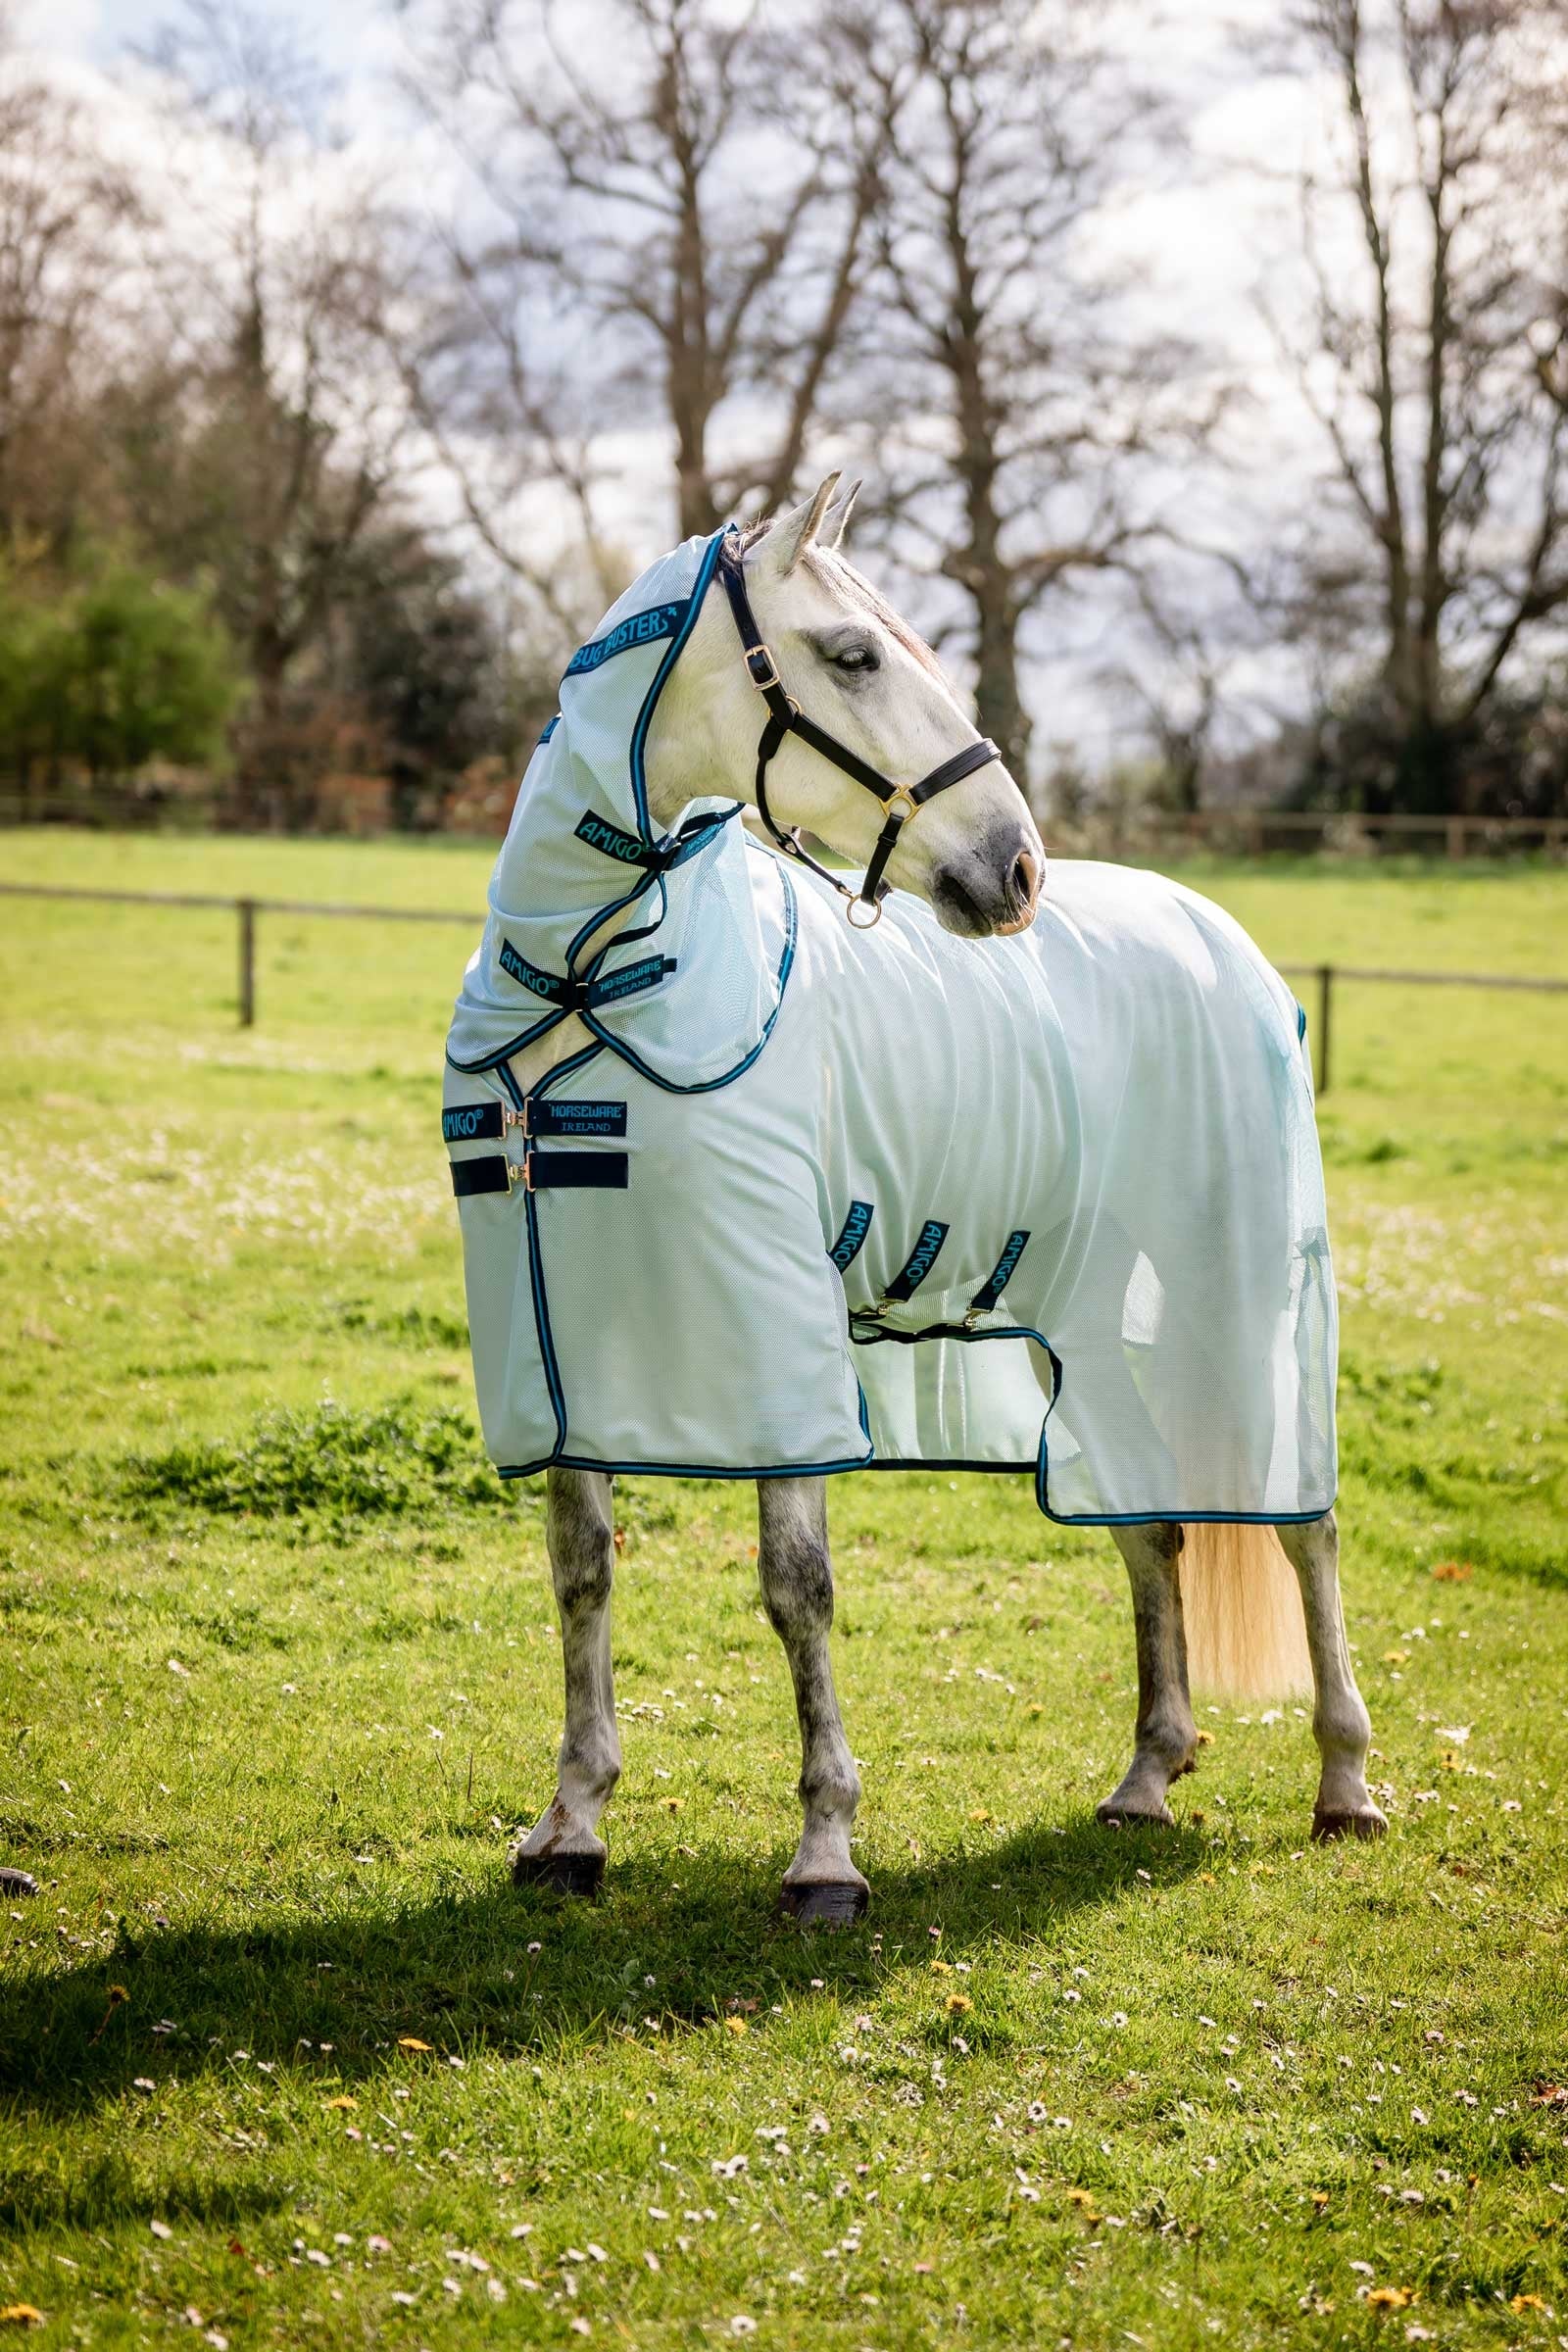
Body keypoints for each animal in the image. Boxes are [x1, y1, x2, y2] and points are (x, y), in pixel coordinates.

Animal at [443, 473, 1385, 1927]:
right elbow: (582, 1574)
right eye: (853, 656)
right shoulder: (566, 1354)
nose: (1017, 867)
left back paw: (1344, 1784)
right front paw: (571, 1825)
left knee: (1304, 1525)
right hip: (1082, 1320)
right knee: (1151, 1524)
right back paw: (1146, 1776)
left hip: (1240, 1299)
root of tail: (1216, 935)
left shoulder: (772, 1347)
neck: (586, 984)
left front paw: (825, 1852)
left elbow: (798, 1589)